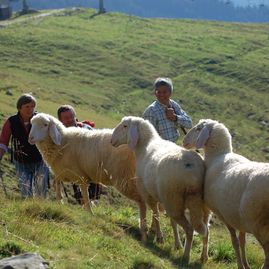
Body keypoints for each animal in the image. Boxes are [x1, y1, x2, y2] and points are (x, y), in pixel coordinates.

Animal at [28, 112, 149, 240]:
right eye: (32, 123)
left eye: (45, 125)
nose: (30, 138)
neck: (63, 142)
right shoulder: (62, 172)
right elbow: (58, 185)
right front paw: (60, 202)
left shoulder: (81, 176)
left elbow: (85, 196)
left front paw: (89, 213)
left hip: (126, 179)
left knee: (143, 201)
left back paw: (145, 233)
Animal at [110, 115, 209, 262]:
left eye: (125, 126)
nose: (111, 140)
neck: (144, 146)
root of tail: (193, 168)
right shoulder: (162, 197)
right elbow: (170, 221)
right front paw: (176, 243)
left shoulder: (148, 194)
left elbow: (155, 213)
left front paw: (159, 236)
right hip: (199, 205)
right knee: (206, 230)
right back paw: (204, 257)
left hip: (174, 200)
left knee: (189, 229)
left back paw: (186, 256)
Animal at [182, 119, 268, 268]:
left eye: (198, 129)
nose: (184, 141)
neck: (217, 155)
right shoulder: (237, 218)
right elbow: (242, 242)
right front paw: (246, 265)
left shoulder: (224, 215)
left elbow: (235, 242)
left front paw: (240, 265)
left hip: (259, 224)